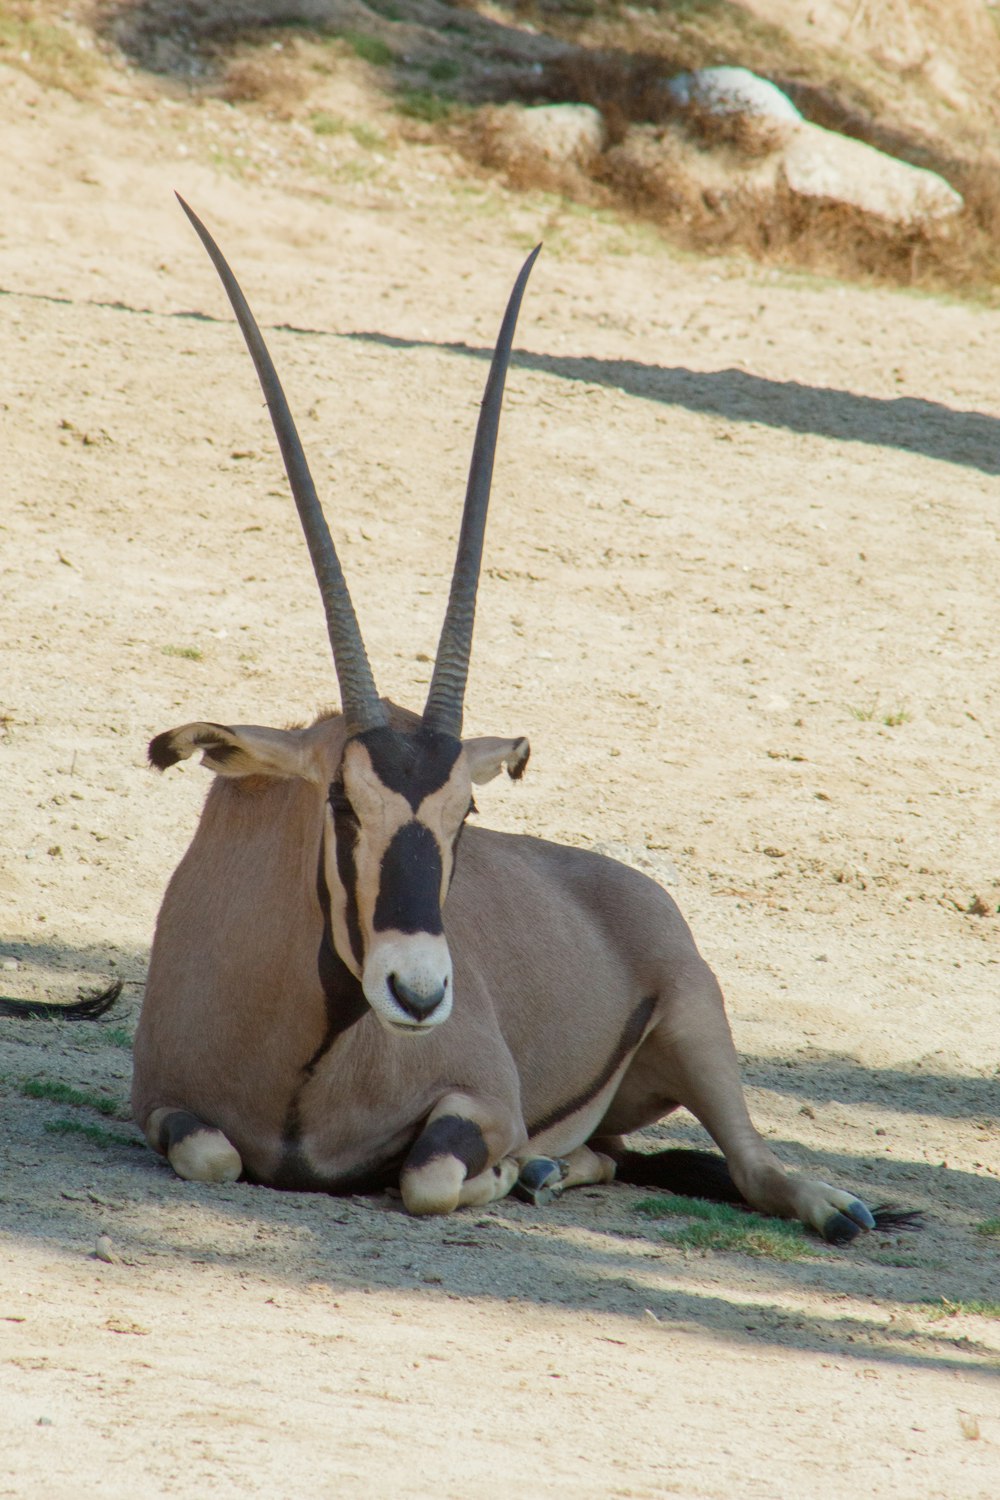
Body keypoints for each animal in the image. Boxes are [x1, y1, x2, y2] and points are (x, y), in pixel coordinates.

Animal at [134, 199, 917, 1242]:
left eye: (464, 813)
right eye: (341, 804)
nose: (420, 992)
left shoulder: (486, 1103)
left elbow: (431, 1175)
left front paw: (500, 1174)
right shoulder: (158, 1104)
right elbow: (214, 1152)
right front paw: (520, 1173)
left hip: (698, 1023)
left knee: (751, 1168)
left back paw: (826, 1205)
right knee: (614, 1153)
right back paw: (558, 1170)